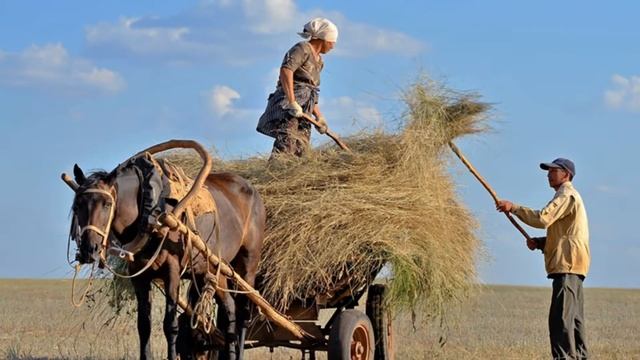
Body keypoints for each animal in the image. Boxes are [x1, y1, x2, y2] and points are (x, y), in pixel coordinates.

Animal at [67, 161, 262, 360]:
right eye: (77, 205)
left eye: (107, 204)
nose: (89, 249)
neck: (150, 213)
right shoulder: (139, 277)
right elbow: (144, 325)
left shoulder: (172, 272)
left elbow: (170, 325)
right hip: (215, 269)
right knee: (229, 310)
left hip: (248, 266)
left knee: (243, 314)